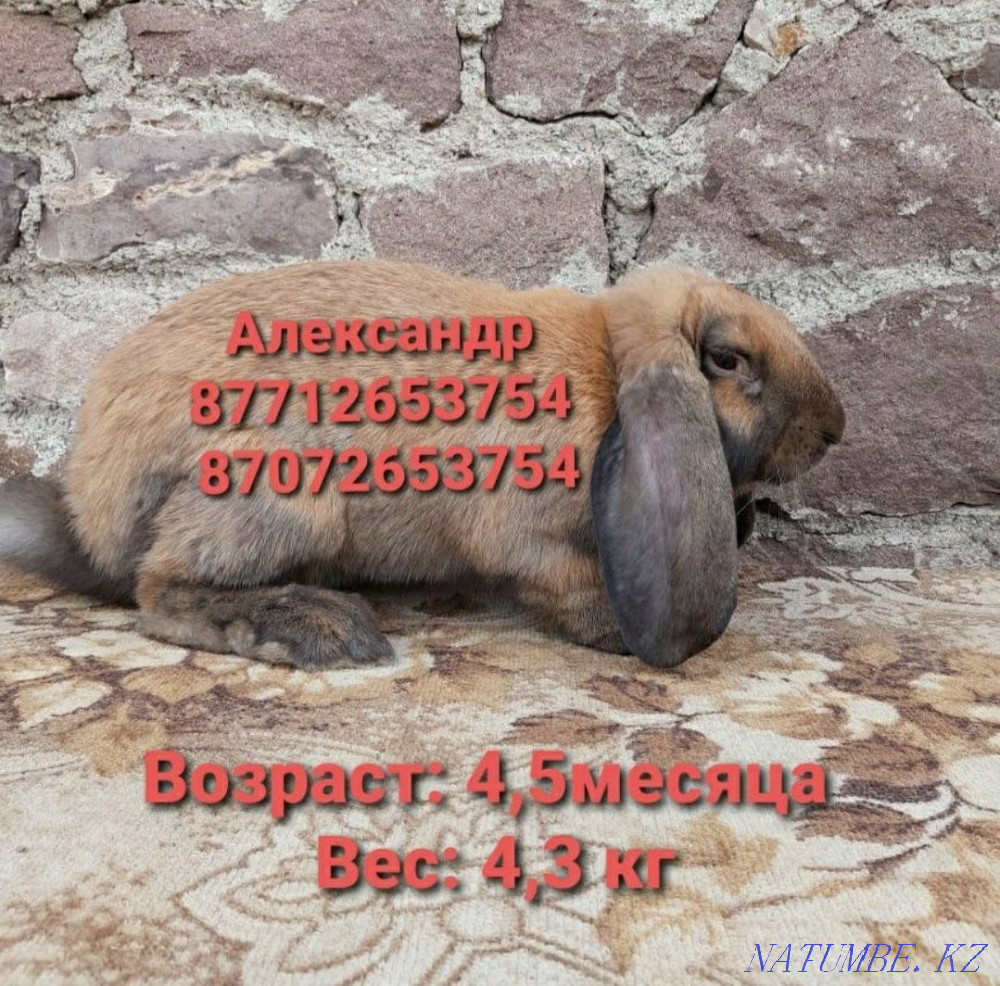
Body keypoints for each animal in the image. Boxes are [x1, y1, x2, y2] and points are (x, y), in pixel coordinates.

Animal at [0, 260, 844, 669]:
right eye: (727, 360)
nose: (835, 429)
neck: (606, 371)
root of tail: (89, 518)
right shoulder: (531, 535)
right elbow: (564, 584)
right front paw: (612, 630)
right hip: (278, 495)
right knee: (159, 591)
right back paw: (316, 631)